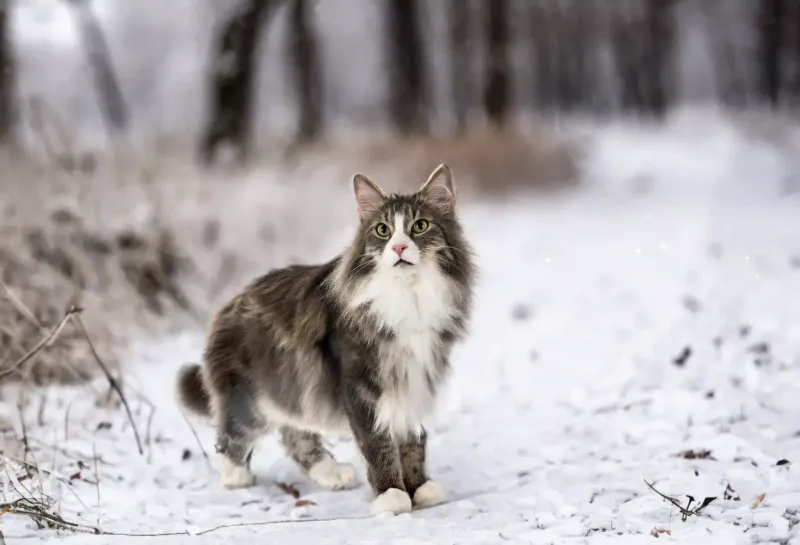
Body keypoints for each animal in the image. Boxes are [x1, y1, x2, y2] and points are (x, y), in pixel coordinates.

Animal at [177, 163, 476, 516]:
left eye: (420, 226)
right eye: (383, 231)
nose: (399, 248)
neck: (408, 296)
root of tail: (225, 308)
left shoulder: (414, 377)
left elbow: (412, 439)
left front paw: (418, 487)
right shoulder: (361, 386)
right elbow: (378, 444)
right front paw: (392, 494)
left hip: (292, 389)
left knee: (294, 435)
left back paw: (332, 473)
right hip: (252, 397)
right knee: (231, 435)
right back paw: (237, 477)